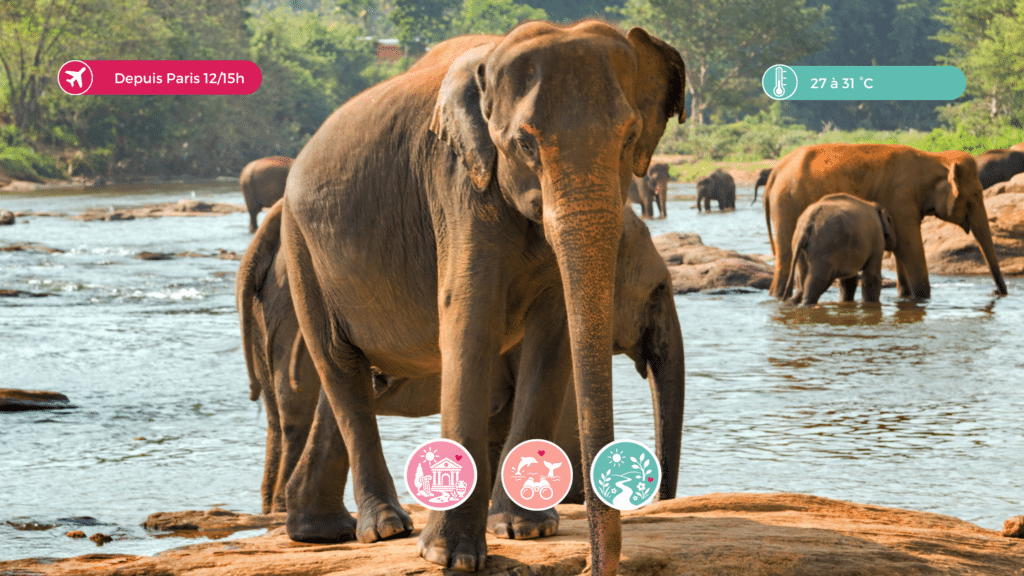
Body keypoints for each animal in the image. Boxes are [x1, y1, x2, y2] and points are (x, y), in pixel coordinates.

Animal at [765, 144, 1007, 300]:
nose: (996, 292)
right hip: (787, 203)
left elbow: (902, 251)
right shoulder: (900, 199)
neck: (934, 158)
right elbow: (910, 248)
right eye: (974, 198)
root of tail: (776, 171)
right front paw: (922, 298)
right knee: (785, 258)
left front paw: (906, 297)